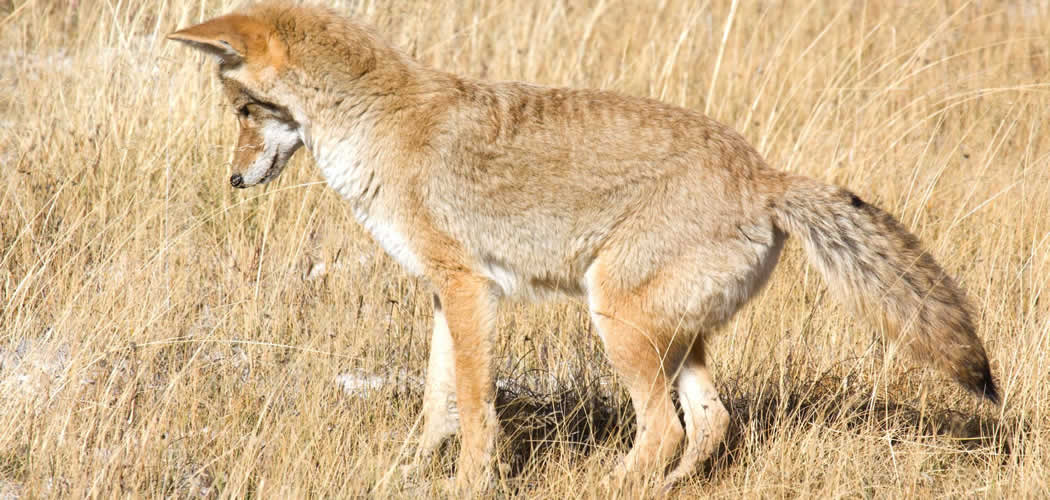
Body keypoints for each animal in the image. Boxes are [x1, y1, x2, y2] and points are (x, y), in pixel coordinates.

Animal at [168, 1, 999, 491]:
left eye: (244, 110)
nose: (234, 179)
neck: (374, 121)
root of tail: (767, 176)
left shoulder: (469, 288)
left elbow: (474, 409)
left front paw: (470, 482)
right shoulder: (444, 291)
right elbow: (437, 405)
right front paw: (408, 469)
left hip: (617, 323)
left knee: (665, 429)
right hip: (666, 338)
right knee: (711, 423)